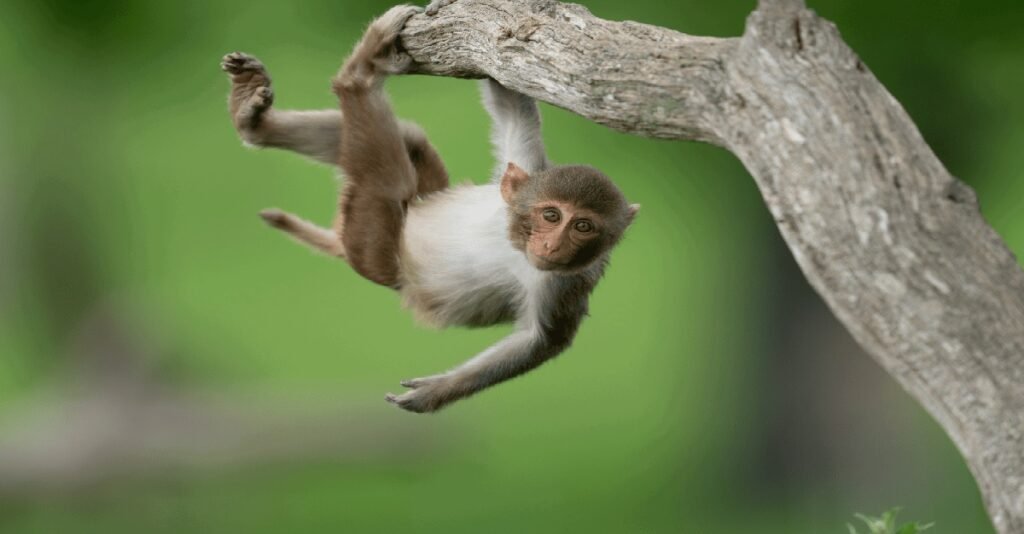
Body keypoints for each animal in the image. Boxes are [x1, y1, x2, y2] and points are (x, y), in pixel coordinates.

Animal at [220, 4, 639, 413]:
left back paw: (358, 77)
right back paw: (254, 118)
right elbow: (511, 111)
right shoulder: (528, 174)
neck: (514, 239)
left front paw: (432, 393)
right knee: (410, 140)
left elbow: (537, 342)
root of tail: (341, 240)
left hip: (373, 250)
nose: (552, 245)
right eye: (551, 215)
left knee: (388, 181)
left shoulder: (566, 283)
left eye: (583, 227)